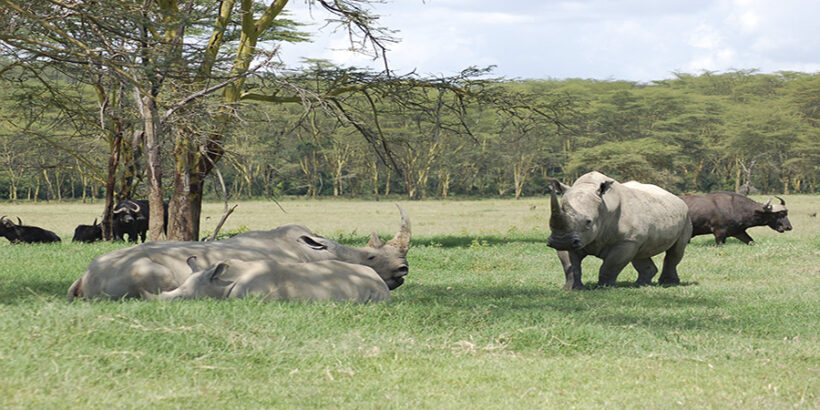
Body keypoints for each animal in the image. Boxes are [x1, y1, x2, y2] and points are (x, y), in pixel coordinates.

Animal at [547, 171, 692, 290]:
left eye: (588, 222)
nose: (560, 241)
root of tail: (676, 197)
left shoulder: (626, 240)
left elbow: (610, 265)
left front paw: (604, 288)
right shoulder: (573, 238)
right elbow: (570, 266)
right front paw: (572, 289)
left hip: (686, 216)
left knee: (676, 251)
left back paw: (668, 284)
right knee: (641, 252)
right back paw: (641, 284)